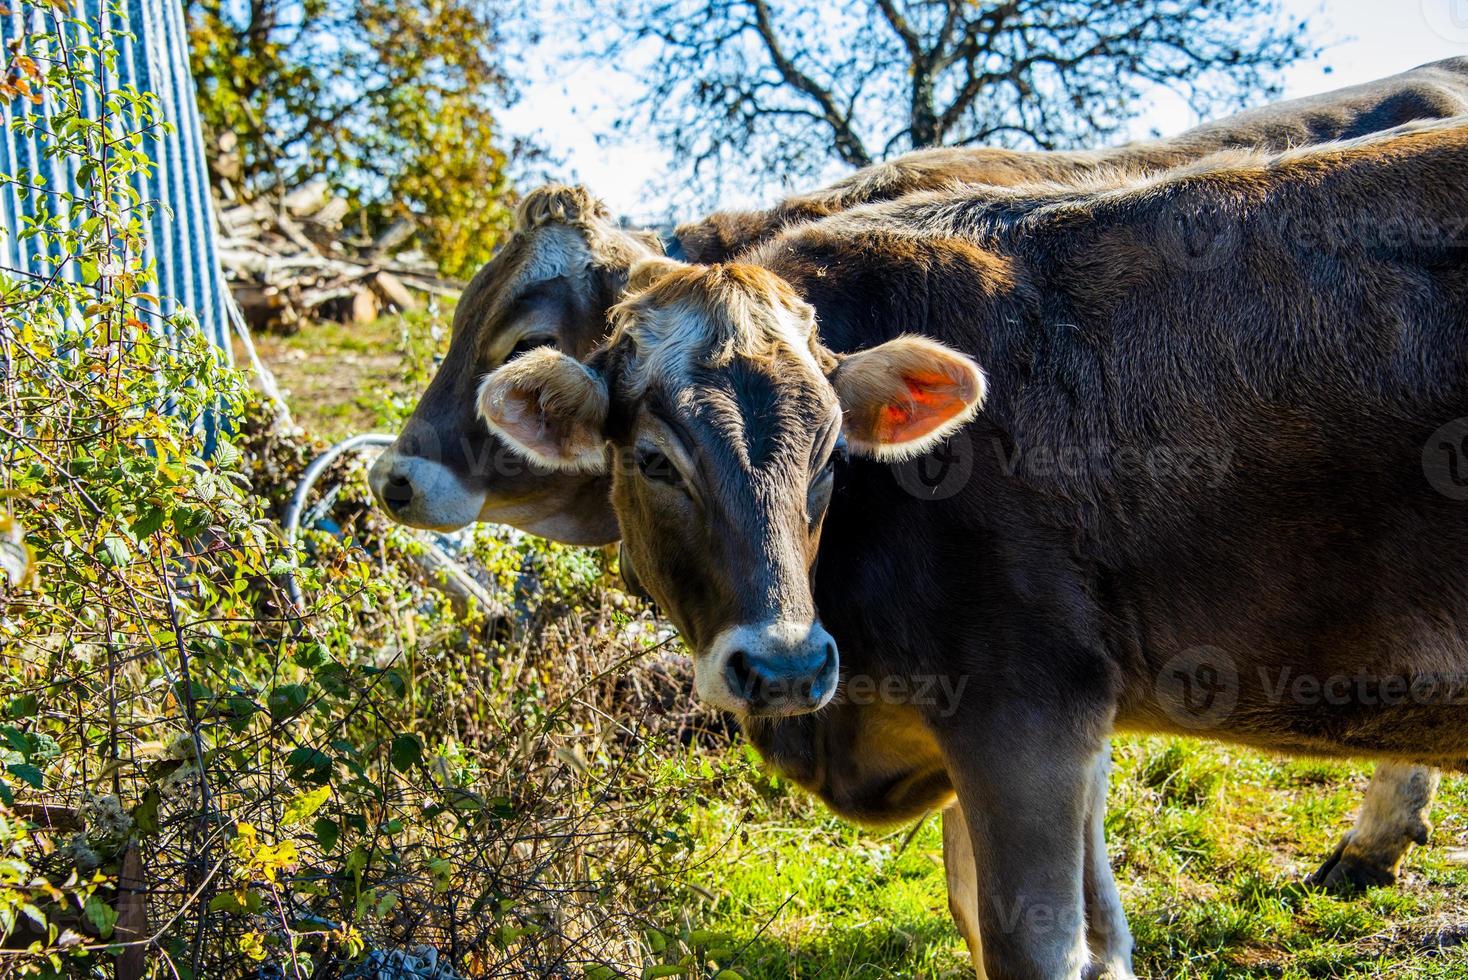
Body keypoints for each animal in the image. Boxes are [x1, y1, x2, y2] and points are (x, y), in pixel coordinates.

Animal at [475, 118, 1462, 974]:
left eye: (833, 452)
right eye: (651, 459)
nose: (786, 667)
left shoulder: (1024, 711)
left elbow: (1031, 942)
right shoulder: (1078, 727)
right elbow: (1089, 939)